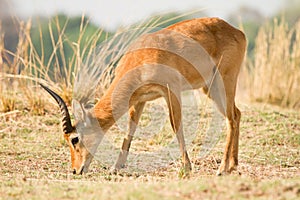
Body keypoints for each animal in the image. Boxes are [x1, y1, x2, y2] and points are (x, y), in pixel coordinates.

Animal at [40, 18, 246, 176]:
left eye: (74, 139)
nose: (75, 170)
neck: (140, 58)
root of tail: (237, 32)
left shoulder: (171, 90)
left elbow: (176, 125)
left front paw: (186, 167)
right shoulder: (139, 99)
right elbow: (130, 130)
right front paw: (116, 167)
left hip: (224, 81)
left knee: (231, 118)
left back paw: (222, 169)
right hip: (210, 88)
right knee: (237, 114)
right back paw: (233, 165)